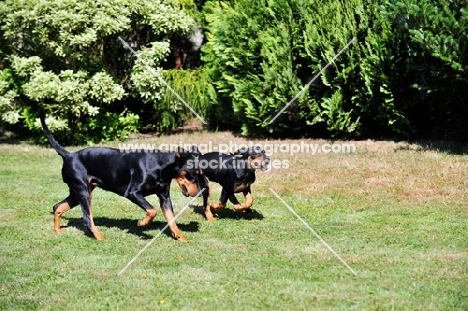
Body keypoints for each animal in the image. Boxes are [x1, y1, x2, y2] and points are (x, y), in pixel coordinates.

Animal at [41, 114, 206, 241]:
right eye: (193, 174)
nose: (199, 192)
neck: (160, 166)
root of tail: (69, 155)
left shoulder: (164, 197)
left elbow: (171, 219)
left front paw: (181, 238)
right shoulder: (132, 193)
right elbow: (152, 210)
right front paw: (142, 223)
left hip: (78, 192)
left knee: (57, 207)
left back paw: (58, 230)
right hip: (83, 192)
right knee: (87, 219)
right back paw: (101, 238)